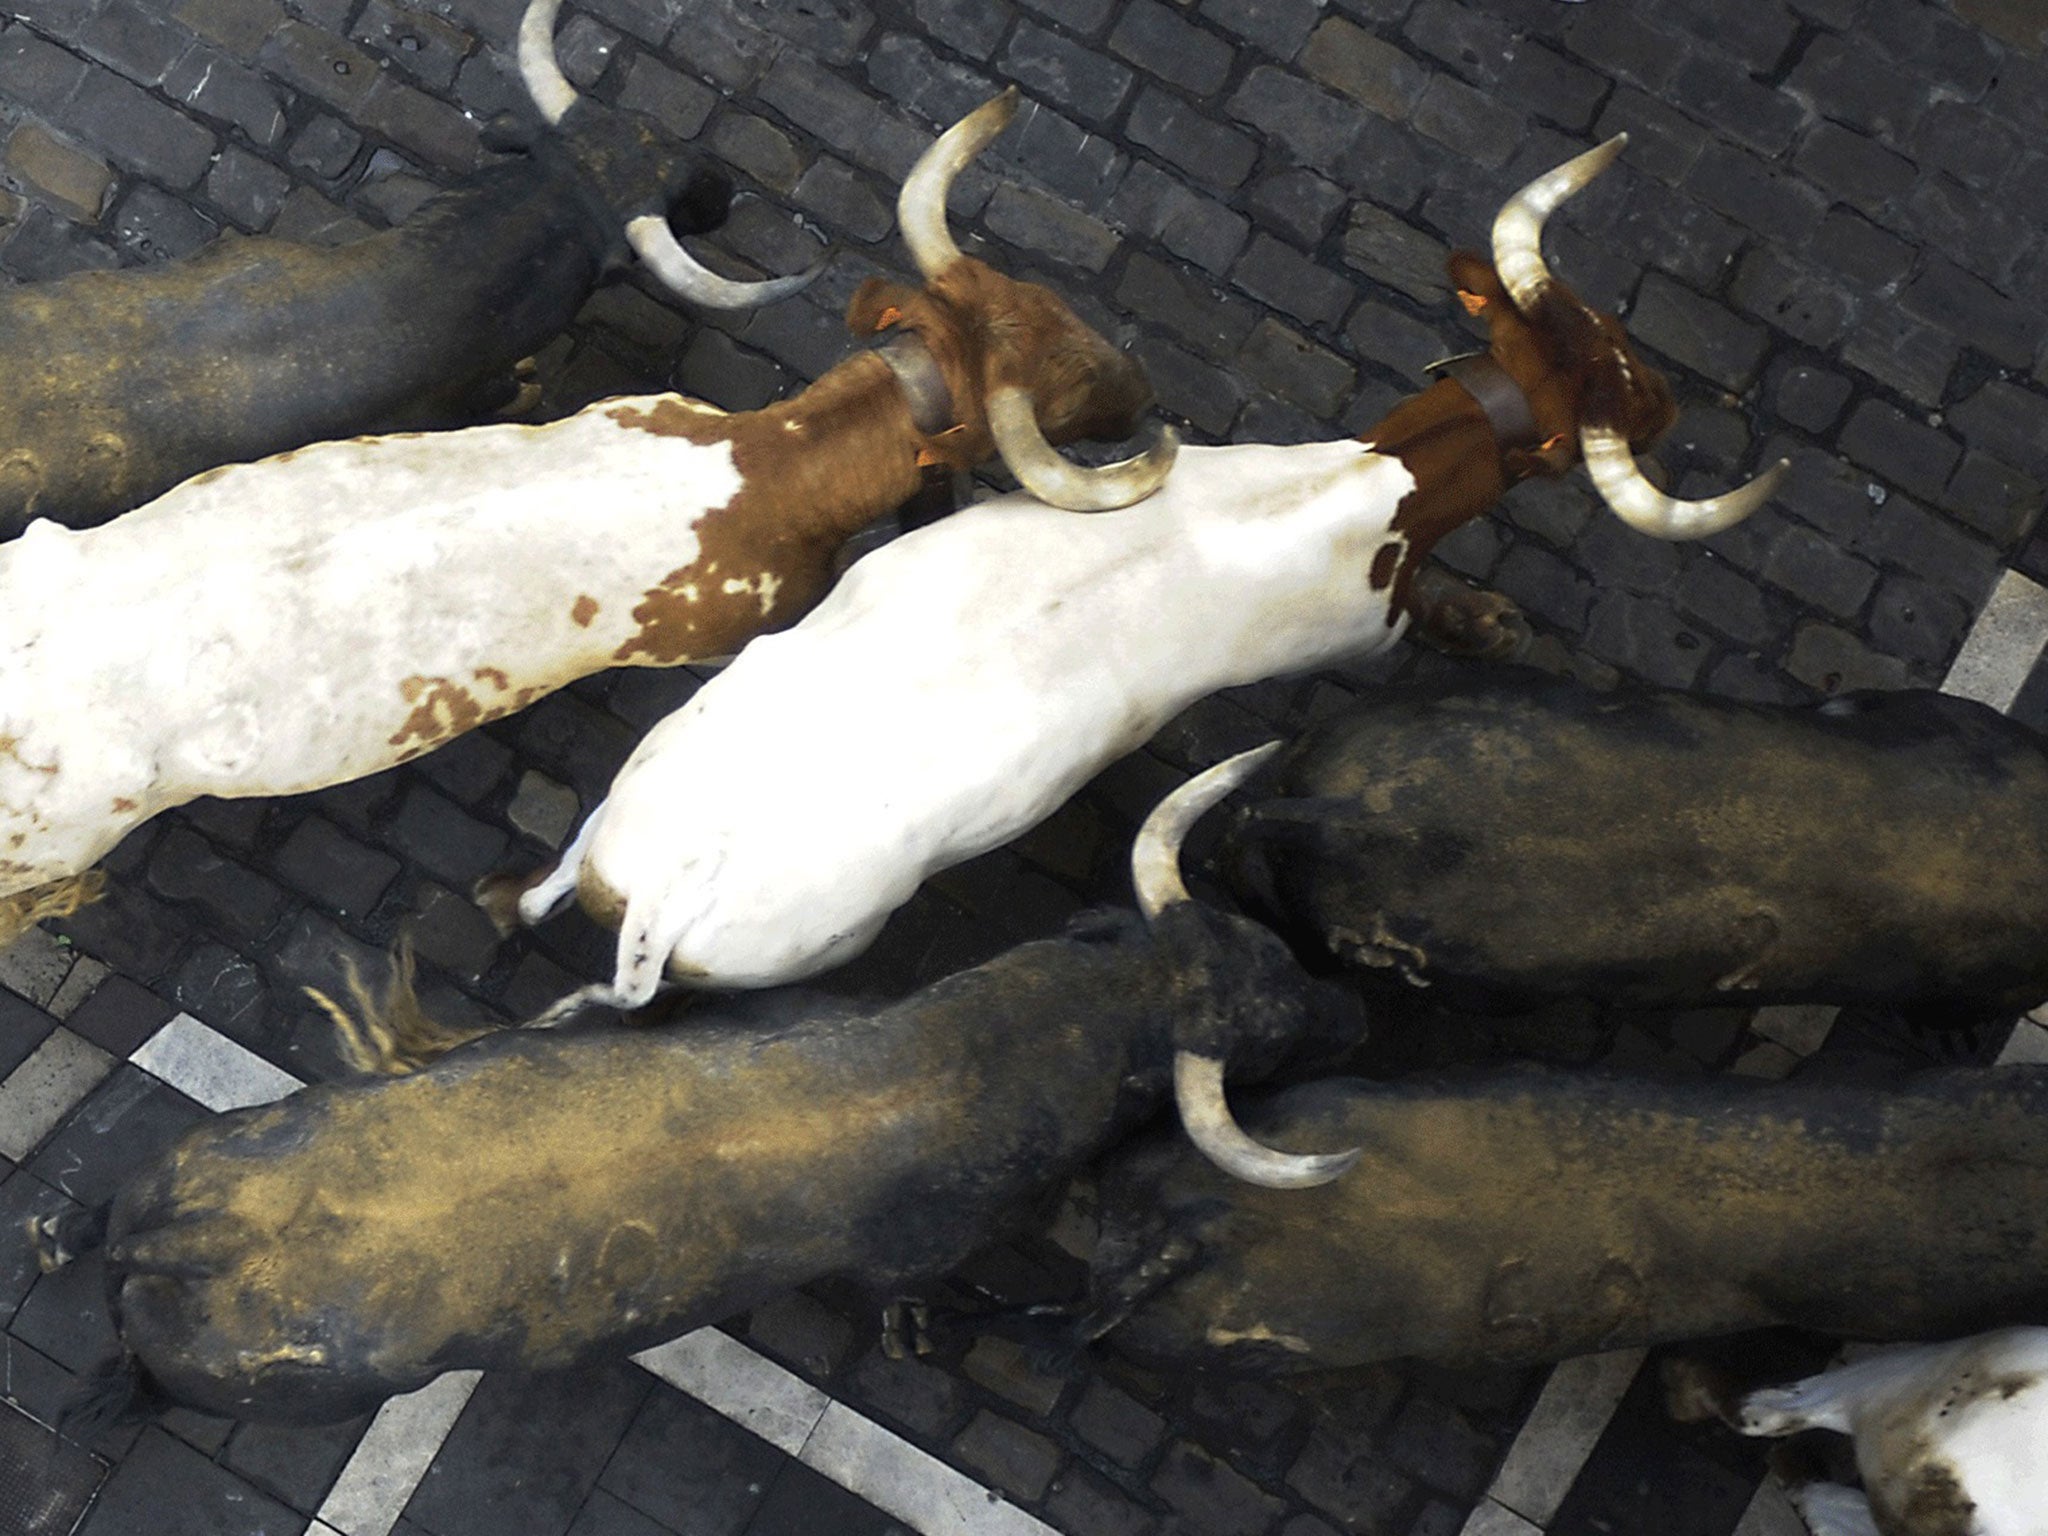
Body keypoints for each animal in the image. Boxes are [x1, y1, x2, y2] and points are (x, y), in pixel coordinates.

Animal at [39, 761, 1351, 1433]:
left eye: (1237, 946)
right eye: (1252, 1038)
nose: (1316, 991)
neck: (989, 1050)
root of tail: (179, 1241)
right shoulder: (922, 1249)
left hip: (190, 1156)